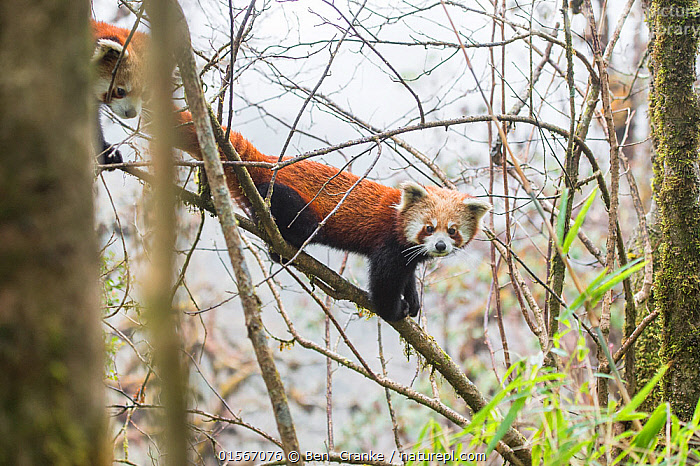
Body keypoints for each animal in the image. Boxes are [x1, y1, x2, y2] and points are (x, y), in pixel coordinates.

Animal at [172, 110, 490, 320]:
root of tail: (270, 163)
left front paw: (412, 299)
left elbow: (408, 275)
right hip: (287, 200)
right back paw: (282, 249)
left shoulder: (408, 255)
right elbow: (383, 282)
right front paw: (392, 310)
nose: (440, 246)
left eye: (452, 230)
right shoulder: (387, 245)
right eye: (429, 227)